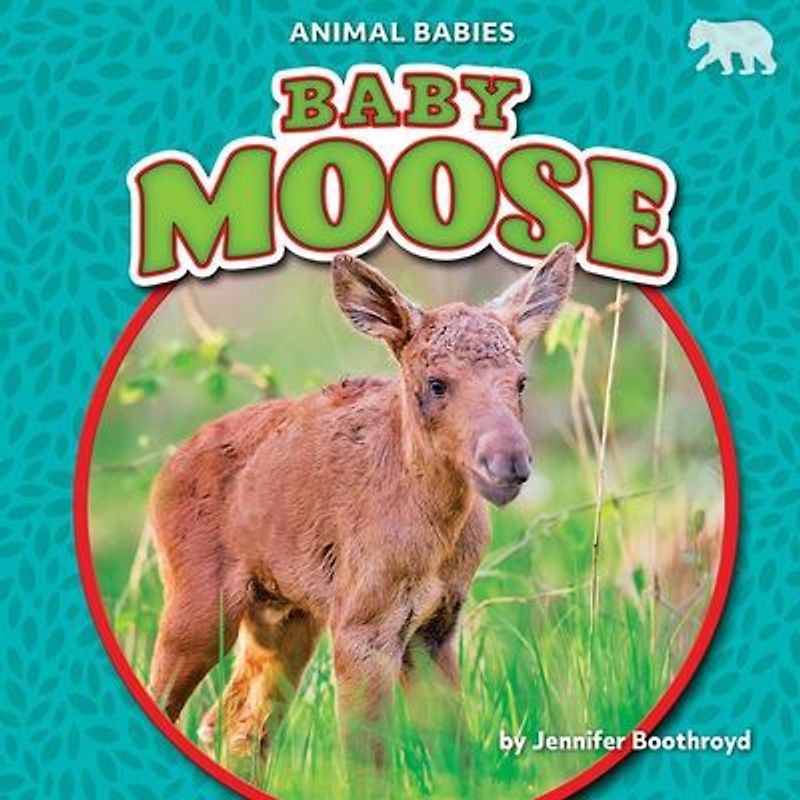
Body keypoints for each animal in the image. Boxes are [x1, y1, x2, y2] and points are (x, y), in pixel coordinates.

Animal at [147, 244, 575, 762]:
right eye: (436, 382)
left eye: (520, 381)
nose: (508, 460)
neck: (435, 537)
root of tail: (165, 471)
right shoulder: (362, 626)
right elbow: (367, 758)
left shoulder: (436, 627)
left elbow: (454, 752)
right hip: (199, 606)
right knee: (176, 700)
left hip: (284, 614)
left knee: (236, 721)